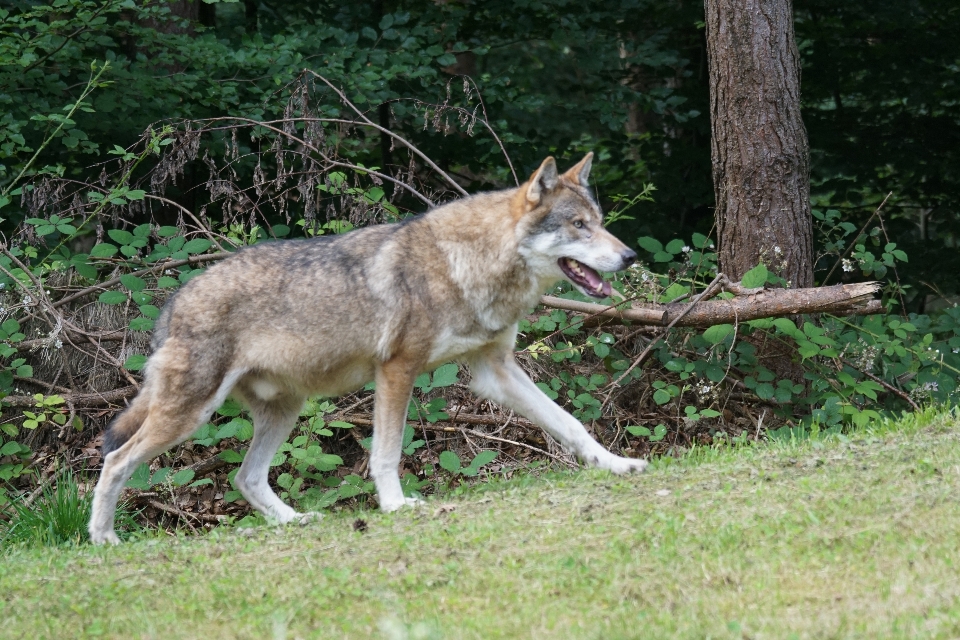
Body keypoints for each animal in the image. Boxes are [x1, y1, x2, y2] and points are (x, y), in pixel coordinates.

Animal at [90, 152, 648, 544]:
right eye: (579, 225)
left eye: (599, 221)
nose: (630, 256)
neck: (468, 262)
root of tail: (174, 301)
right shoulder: (397, 370)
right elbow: (387, 453)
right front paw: (396, 506)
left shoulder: (495, 372)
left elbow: (571, 423)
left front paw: (616, 465)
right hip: (191, 416)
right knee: (115, 462)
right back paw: (104, 539)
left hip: (283, 410)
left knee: (244, 478)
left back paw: (294, 521)